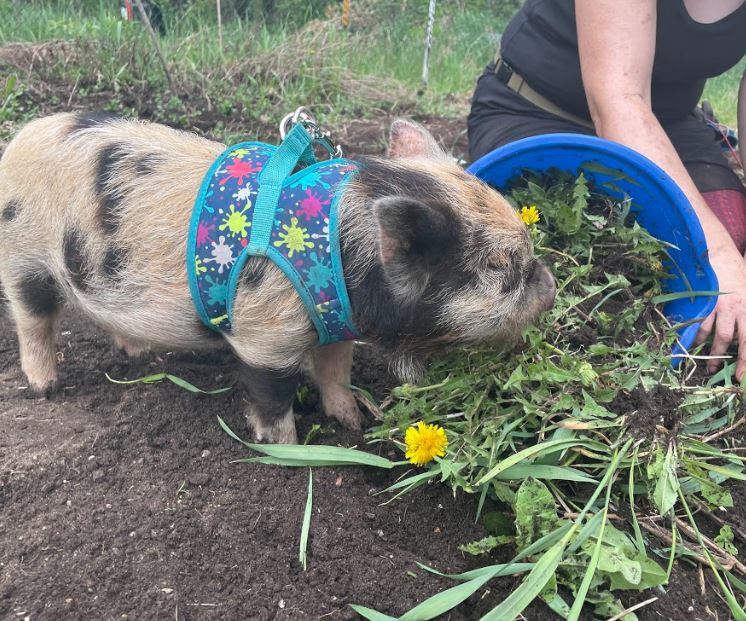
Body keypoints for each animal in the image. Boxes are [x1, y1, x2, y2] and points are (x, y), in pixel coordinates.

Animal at [0, 112, 555, 443]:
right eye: (502, 268)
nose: (550, 285)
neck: (343, 261)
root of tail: (19, 140)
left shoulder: (334, 324)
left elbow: (335, 372)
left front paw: (354, 420)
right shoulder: (266, 335)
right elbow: (273, 398)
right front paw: (288, 453)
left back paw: (137, 354)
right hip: (24, 258)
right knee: (33, 320)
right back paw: (46, 390)